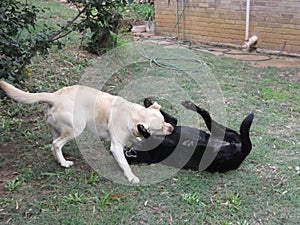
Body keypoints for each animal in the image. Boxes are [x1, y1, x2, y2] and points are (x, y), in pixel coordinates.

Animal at [0, 81, 173, 184]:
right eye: (161, 126)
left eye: (165, 120)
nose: (171, 128)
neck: (131, 115)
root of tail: (54, 96)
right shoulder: (116, 146)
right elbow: (124, 163)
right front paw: (131, 177)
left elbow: (138, 140)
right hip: (76, 128)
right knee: (56, 144)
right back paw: (64, 163)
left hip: (56, 128)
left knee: (53, 144)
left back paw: (59, 160)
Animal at [125, 99, 254, 173]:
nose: (127, 151)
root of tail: (242, 152)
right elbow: (149, 135)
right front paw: (142, 128)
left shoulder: (173, 124)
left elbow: (169, 119)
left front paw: (148, 103)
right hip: (214, 150)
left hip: (220, 131)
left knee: (206, 114)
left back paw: (190, 106)